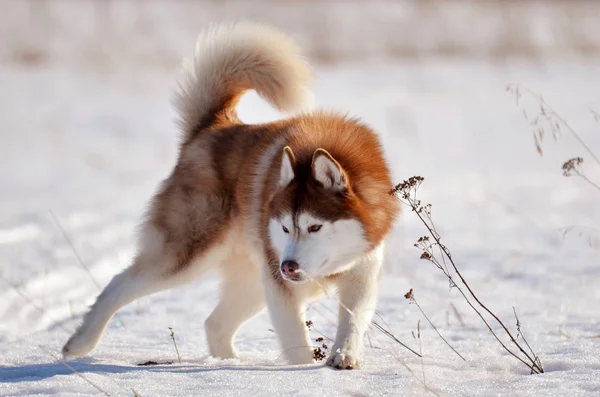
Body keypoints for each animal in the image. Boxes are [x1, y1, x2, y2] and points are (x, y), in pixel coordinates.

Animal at [62, 21, 398, 368]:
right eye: (286, 227)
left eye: (315, 226)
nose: (289, 266)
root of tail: (211, 127)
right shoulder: (280, 288)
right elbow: (296, 344)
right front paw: (304, 370)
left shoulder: (362, 272)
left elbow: (354, 319)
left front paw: (344, 356)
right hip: (190, 254)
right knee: (118, 284)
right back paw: (80, 343)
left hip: (252, 277)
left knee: (215, 323)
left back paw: (228, 364)